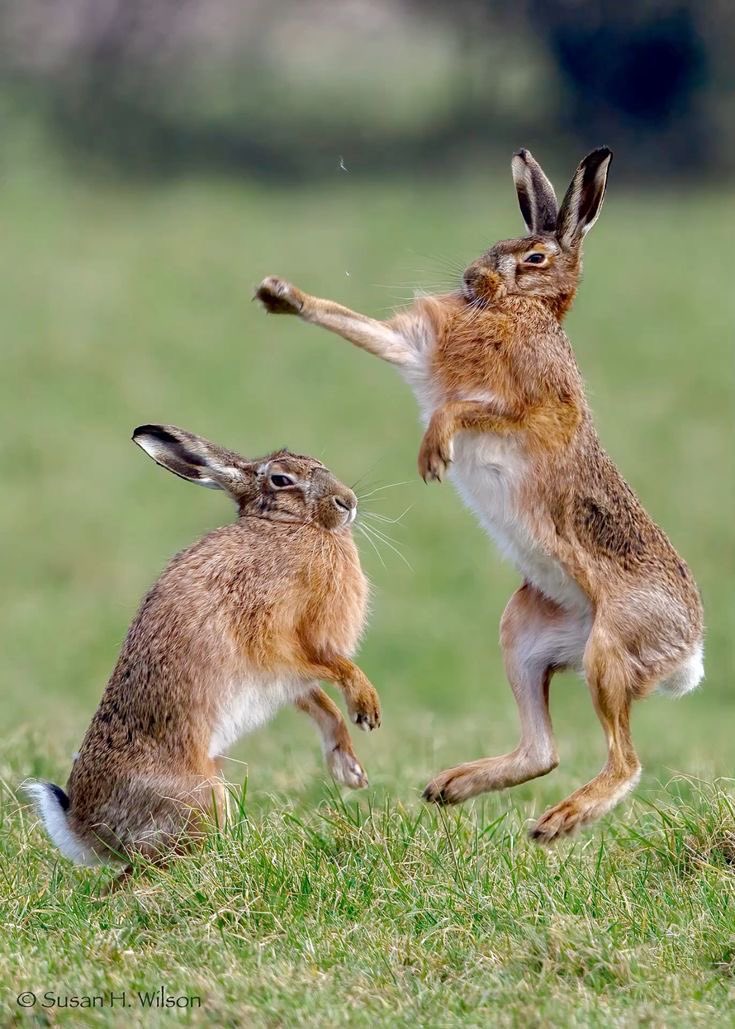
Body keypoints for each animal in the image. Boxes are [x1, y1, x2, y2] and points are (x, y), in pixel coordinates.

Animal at [25, 425, 380, 866]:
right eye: (281, 480)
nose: (347, 502)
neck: (286, 525)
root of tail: (83, 829)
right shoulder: (278, 639)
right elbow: (333, 669)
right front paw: (366, 707)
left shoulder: (288, 677)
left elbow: (320, 703)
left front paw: (349, 771)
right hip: (202, 801)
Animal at [255, 147, 704, 843]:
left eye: (535, 257)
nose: (471, 276)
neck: (520, 308)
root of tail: (690, 651)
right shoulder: (416, 347)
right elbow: (361, 327)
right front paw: (280, 295)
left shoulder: (531, 406)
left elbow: (467, 412)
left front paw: (433, 452)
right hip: (525, 632)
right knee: (542, 750)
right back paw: (451, 787)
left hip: (611, 649)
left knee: (626, 760)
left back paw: (561, 821)